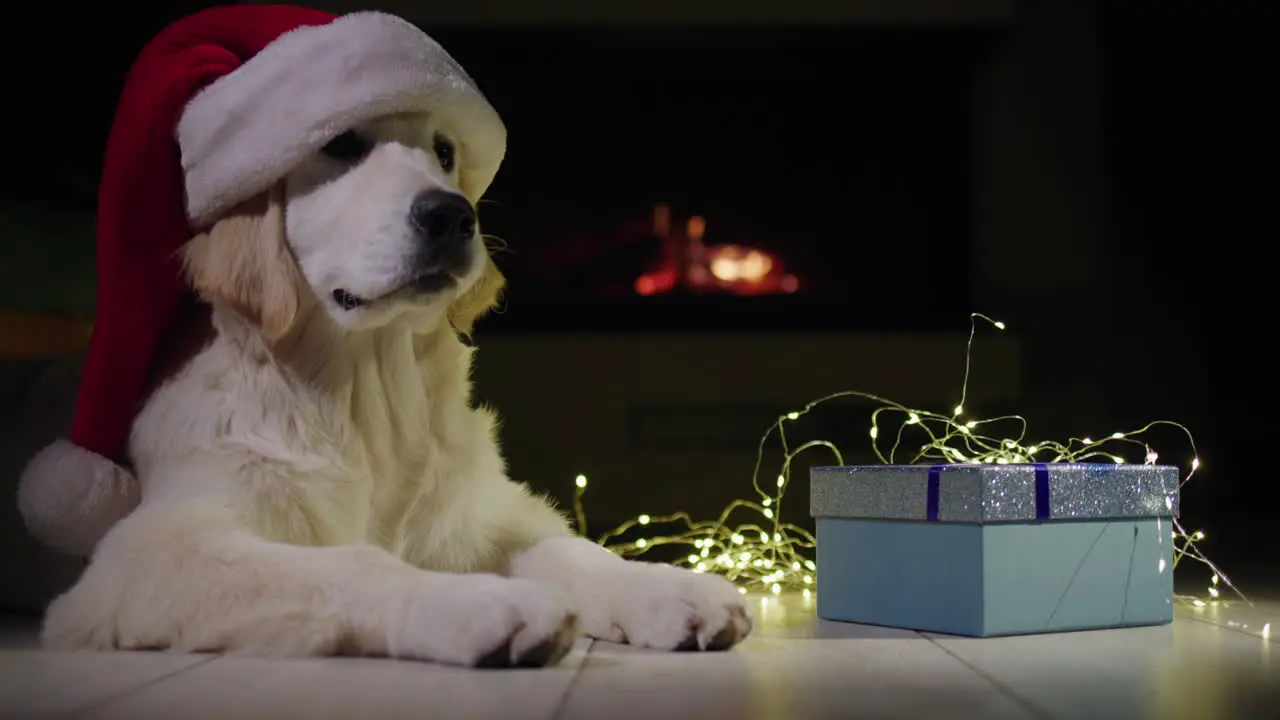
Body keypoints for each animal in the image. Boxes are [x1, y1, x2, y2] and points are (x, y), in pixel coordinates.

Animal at [37, 113, 747, 666]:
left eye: (446, 152)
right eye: (341, 144)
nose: (453, 215)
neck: (364, 394)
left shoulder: (477, 510)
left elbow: (569, 547)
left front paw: (670, 590)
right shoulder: (149, 553)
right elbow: (353, 563)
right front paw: (485, 603)